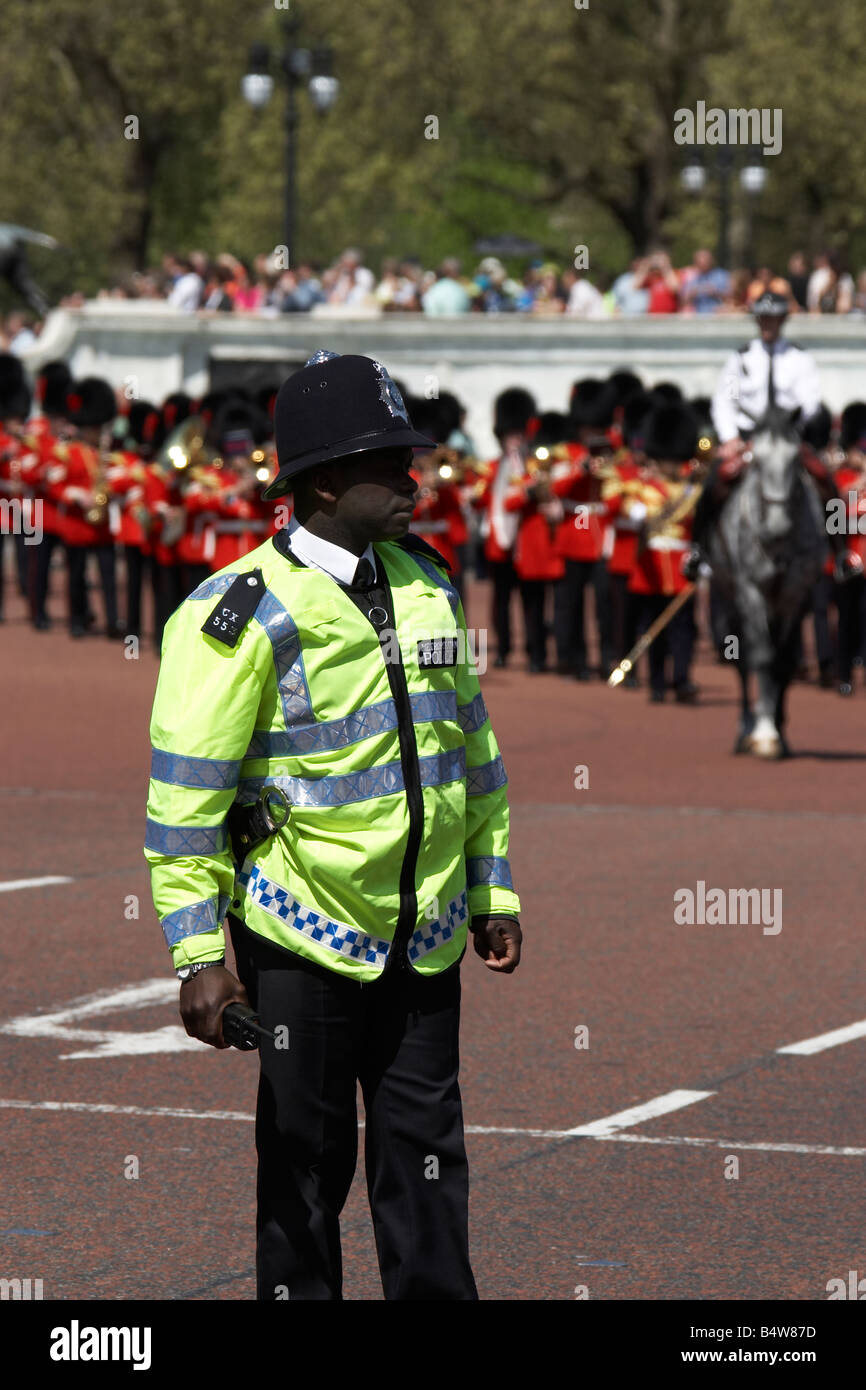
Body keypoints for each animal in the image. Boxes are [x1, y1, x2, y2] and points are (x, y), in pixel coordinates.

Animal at [708, 408, 828, 761]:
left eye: (795, 459)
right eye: (756, 461)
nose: (776, 528)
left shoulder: (797, 594)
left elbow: (783, 660)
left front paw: (777, 731)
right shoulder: (749, 591)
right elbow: (761, 656)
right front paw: (763, 733)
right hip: (729, 595)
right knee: (742, 658)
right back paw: (745, 730)